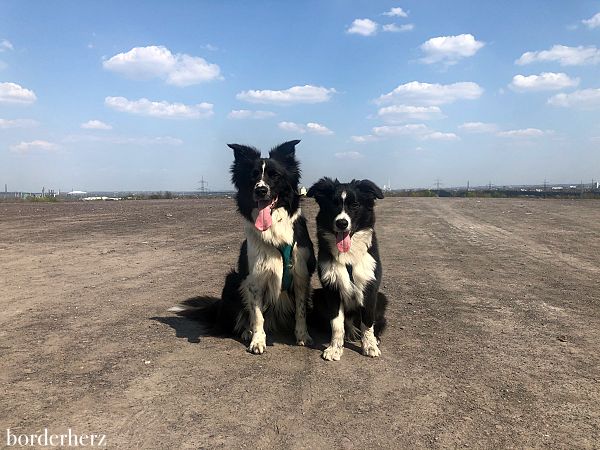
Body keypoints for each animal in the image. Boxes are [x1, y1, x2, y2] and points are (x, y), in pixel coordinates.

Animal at [171, 141, 316, 356]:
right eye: (253, 175)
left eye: (275, 175)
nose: (261, 190)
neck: (274, 229)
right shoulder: (254, 278)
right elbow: (256, 315)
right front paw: (257, 340)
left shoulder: (300, 276)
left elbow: (301, 310)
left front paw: (302, 336)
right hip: (232, 280)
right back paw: (246, 331)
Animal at [308, 178, 386, 360]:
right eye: (333, 204)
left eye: (355, 205)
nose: (342, 223)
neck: (348, 256)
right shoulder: (331, 288)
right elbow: (337, 323)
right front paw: (334, 348)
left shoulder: (369, 289)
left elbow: (367, 321)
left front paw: (369, 345)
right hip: (318, 296)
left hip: (382, 298)